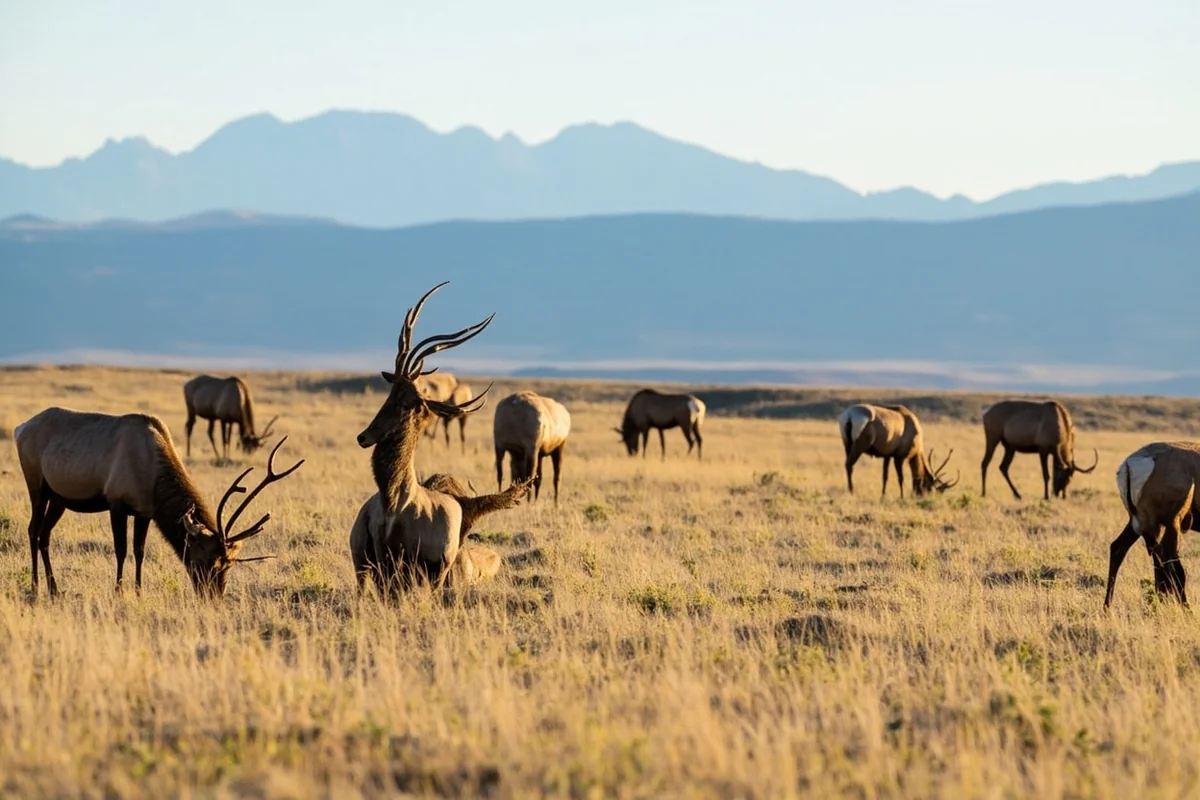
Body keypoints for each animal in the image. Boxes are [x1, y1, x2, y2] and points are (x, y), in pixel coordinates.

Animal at [13, 407, 301, 599]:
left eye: (229, 564)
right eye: (206, 559)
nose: (213, 597)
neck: (152, 477)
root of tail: (20, 428)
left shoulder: (144, 511)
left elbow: (139, 551)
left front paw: (139, 591)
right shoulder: (116, 502)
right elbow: (121, 550)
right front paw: (118, 591)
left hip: (59, 497)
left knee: (45, 535)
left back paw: (54, 588)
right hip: (36, 484)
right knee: (32, 530)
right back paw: (35, 586)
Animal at [1104, 442, 1200, 609]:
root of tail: (1131, 463)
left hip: (1139, 524)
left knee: (1118, 548)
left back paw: (1107, 608)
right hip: (1169, 525)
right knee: (1171, 563)